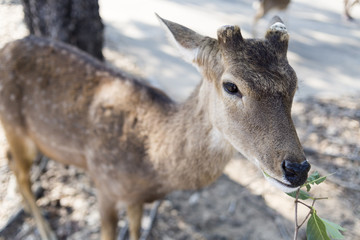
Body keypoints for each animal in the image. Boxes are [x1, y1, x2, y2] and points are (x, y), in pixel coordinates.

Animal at [0, 15, 310, 240]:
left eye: (295, 84)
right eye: (231, 86)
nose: (297, 169)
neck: (151, 161)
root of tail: (6, 47)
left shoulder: (136, 199)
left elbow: (137, 232)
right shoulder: (104, 184)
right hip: (13, 124)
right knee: (21, 172)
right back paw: (44, 228)